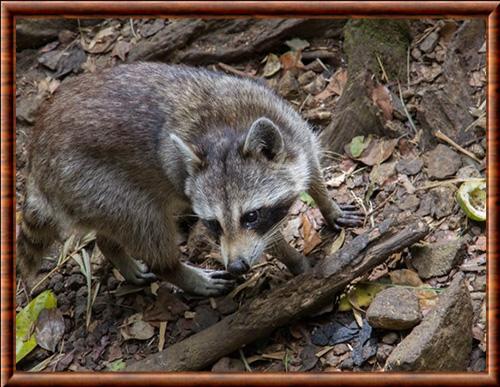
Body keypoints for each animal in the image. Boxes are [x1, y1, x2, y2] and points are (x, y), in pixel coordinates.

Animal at [17, 63, 364, 298]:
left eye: (251, 216)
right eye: (213, 224)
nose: (236, 266)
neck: (226, 132)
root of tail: (36, 158)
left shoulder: (285, 119)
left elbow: (312, 168)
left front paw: (326, 203)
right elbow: (271, 238)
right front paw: (294, 261)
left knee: (112, 231)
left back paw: (114, 251)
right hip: (91, 181)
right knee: (144, 225)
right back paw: (176, 271)